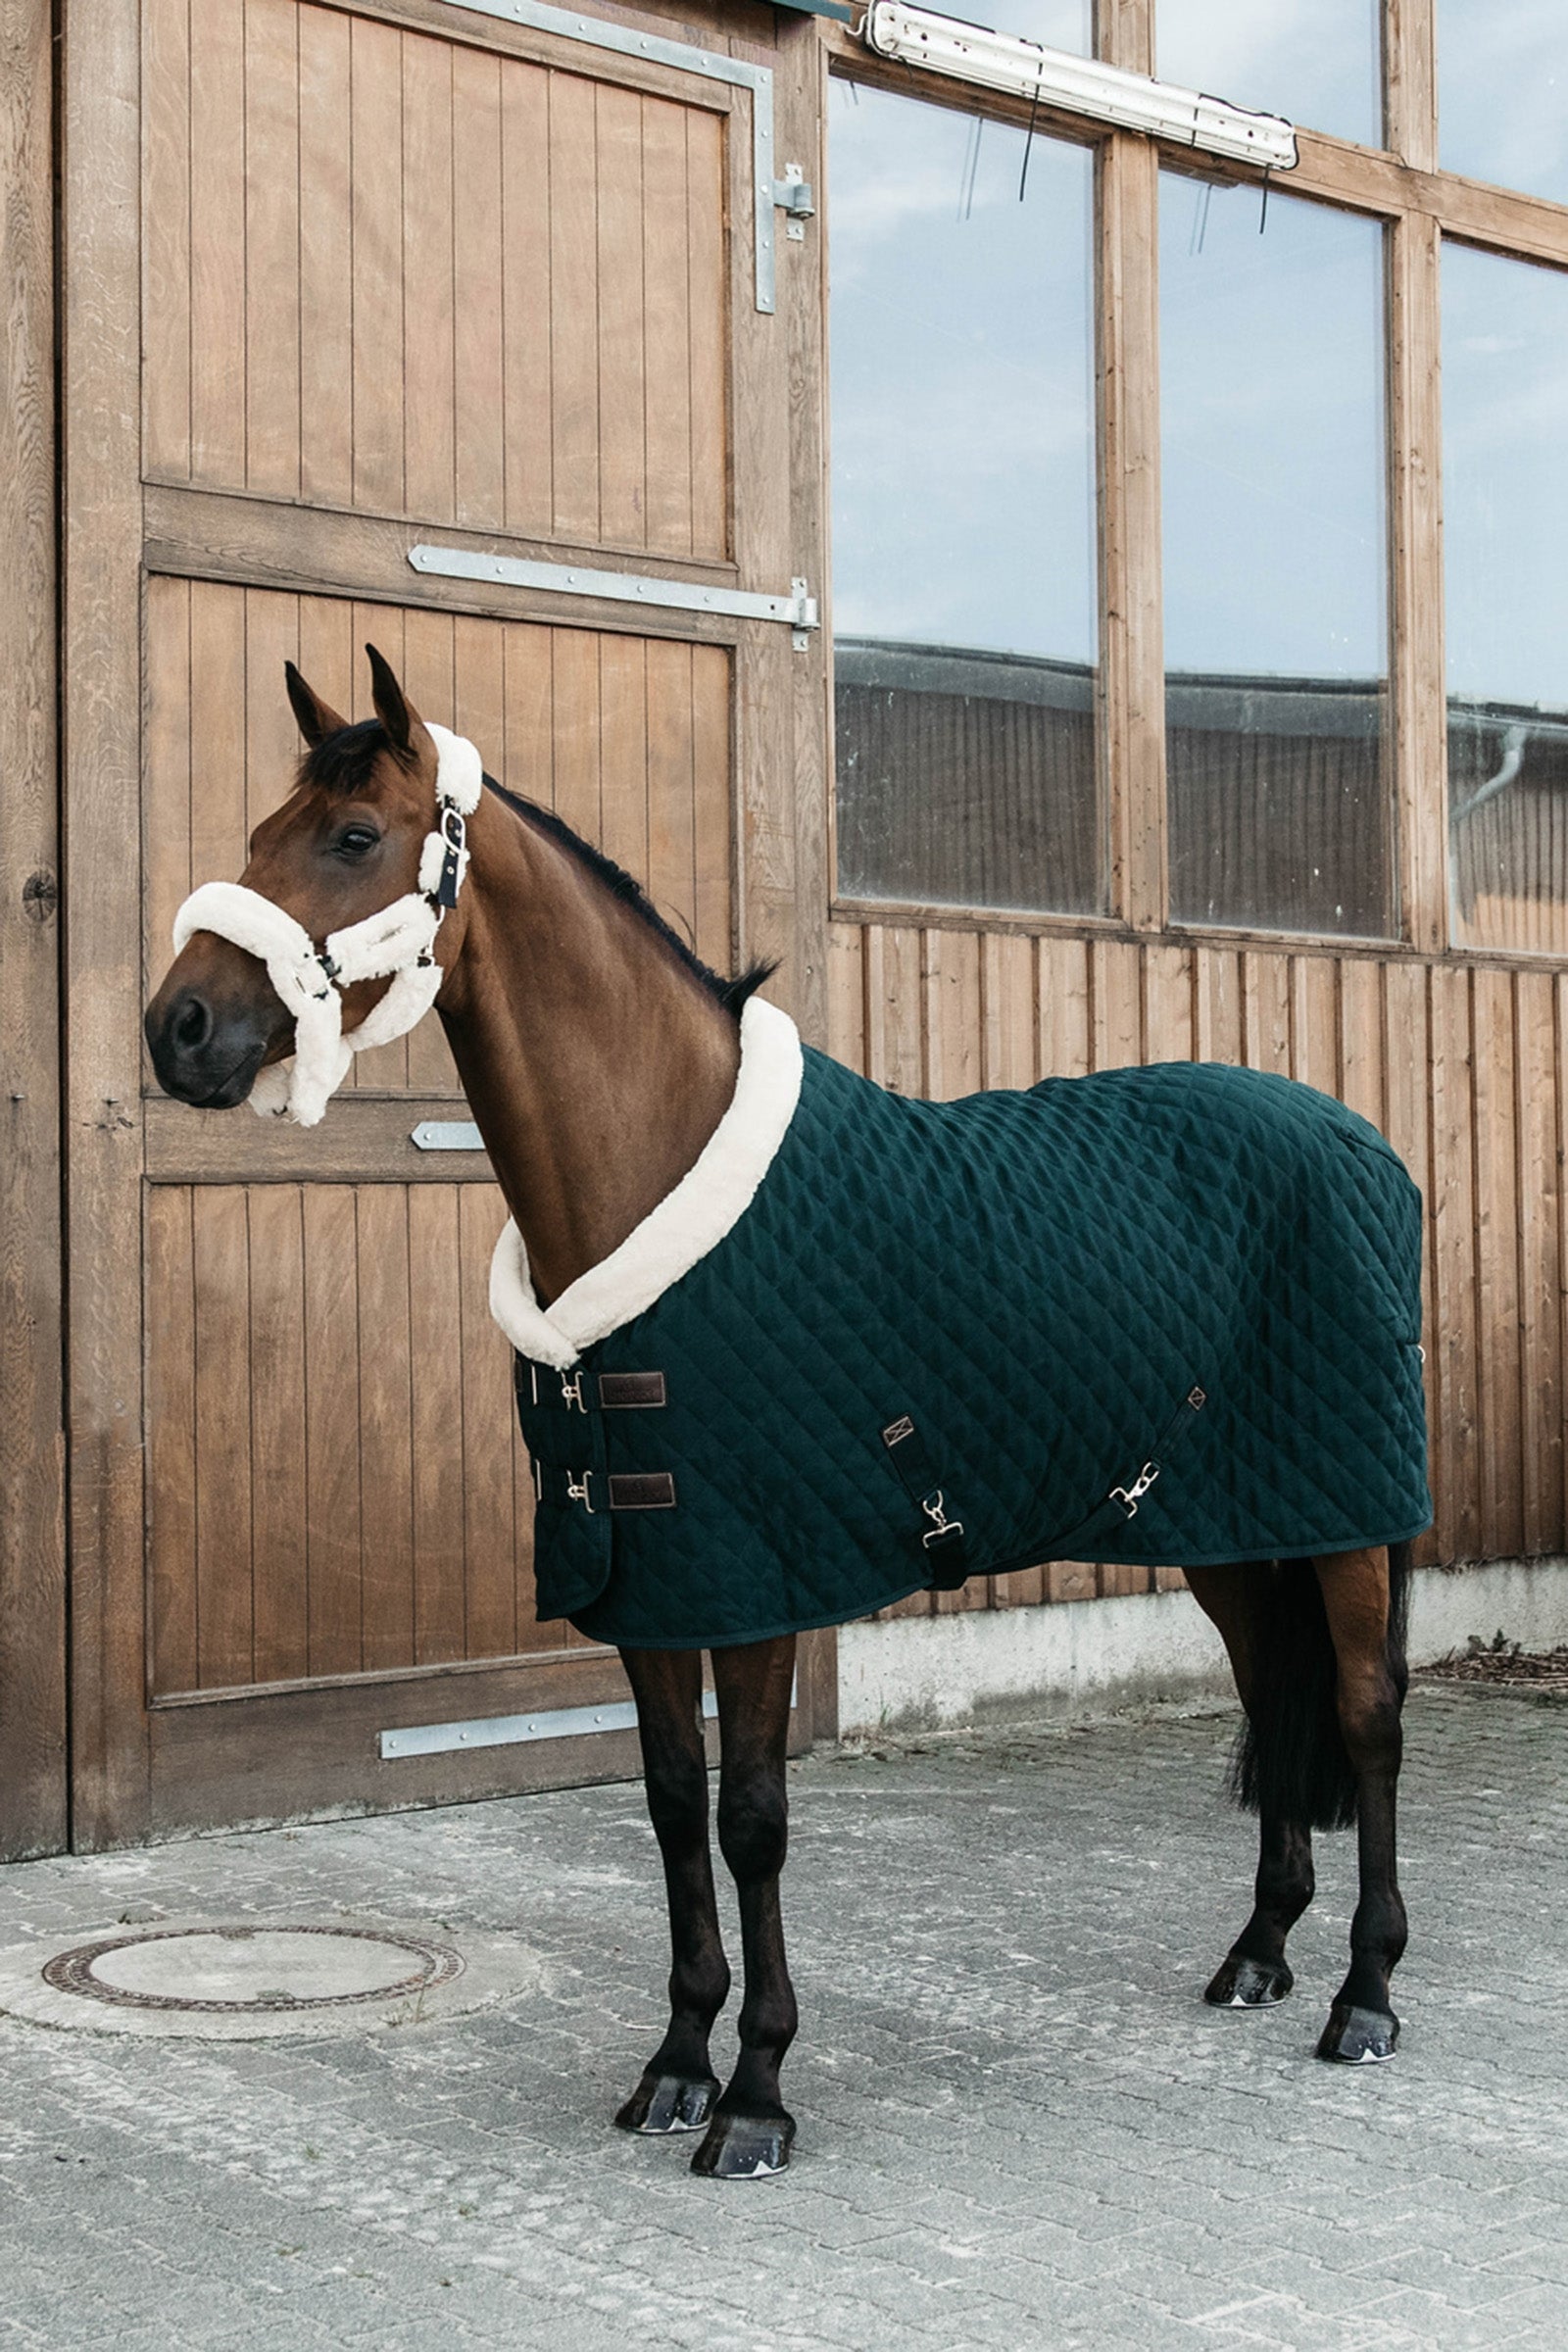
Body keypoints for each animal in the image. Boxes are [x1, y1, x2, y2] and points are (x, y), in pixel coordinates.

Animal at [144, 646, 1424, 2179]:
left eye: (349, 838)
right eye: (259, 833)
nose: (177, 1031)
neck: (659, 1169)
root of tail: (1360, 1141)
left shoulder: (759, 1585)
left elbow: (751, 1820)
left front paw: (754, 2093)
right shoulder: (654, 1581)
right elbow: (669, 1809)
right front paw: (675, 2067)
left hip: (1347, 1519)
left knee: (1364, 1718)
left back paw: (1364, 1993)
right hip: (1232, 1528)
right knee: (1275, 1697)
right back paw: (1258, 1954)